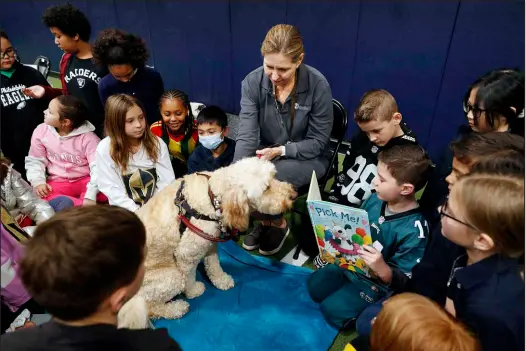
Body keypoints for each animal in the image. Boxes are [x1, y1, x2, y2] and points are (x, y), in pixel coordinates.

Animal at [117, 158, 296, 328]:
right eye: (266, 188)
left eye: (274, 176)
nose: (293, 195)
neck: (213, 196)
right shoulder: (186, 254)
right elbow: (189, 278)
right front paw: (194, 291)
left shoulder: (210, 243)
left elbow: (214, 265)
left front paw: (221, 280)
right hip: (169, 278)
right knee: (150, 308)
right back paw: (177, 308)